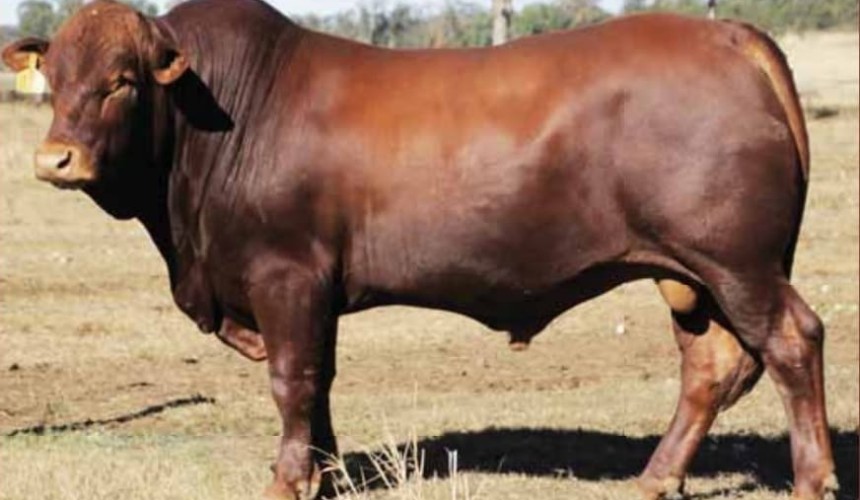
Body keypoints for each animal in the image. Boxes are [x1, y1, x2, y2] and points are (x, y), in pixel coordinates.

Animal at [2, 0, 837, 498]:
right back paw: (654, 480)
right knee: (710, 365)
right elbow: (321, 382)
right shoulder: (315, 290)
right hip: (686, 274)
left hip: (736, 261)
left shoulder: (286, 274)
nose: (55, 160)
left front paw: (287, 480)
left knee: (792, 341)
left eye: (123, 81)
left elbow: (292, 382)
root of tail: (729, 33)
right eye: (54, 79)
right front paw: (325, 474)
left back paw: (812, 479)